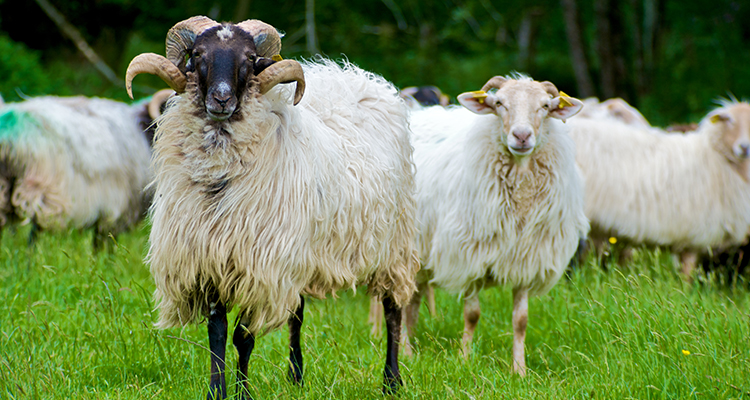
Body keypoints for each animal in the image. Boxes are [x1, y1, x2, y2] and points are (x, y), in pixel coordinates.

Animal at [0, 94, 160, 247]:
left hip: (6, 188)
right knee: (35, 233)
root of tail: (10, 126)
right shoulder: (116, 209)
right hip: (43, 189)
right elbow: (106, 243)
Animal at [124, 16, 418, 400]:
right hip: (301, 253)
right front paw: (217, 391)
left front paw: (244, 392)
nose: (221, 99)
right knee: (298, 313)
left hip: (393, 242)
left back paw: (391, 381)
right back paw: (296, 376)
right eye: (198, 54)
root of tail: (357, 77)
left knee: (393, 308)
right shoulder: (212, 261)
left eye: (250, 59)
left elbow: (243, 338)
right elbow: (217, 333)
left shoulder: (260, 267)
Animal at [402, 74, 592, 376]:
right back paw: (403, 350)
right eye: (499, 103)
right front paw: (464, 360)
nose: (522, 136)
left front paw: (519, 370)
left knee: (413, 301)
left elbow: (521, 320)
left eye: (545, 106)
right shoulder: (469, 256)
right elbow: (472, 315)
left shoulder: (527, 260)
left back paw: (410, 351)